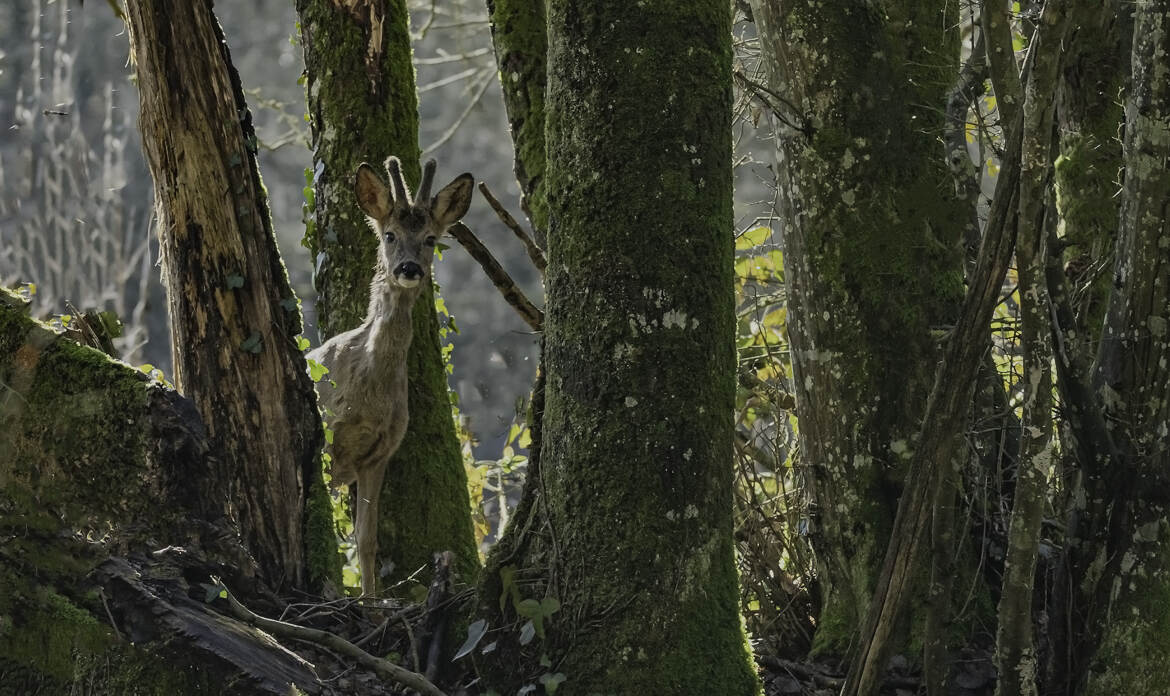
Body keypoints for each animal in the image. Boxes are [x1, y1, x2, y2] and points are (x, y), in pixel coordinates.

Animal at [315, 156, 475, 594]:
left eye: (431, 239)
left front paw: (370, 604)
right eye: (389, 235)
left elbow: (366, 540)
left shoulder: (380, 452)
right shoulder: (327, 437)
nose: (408, 268)